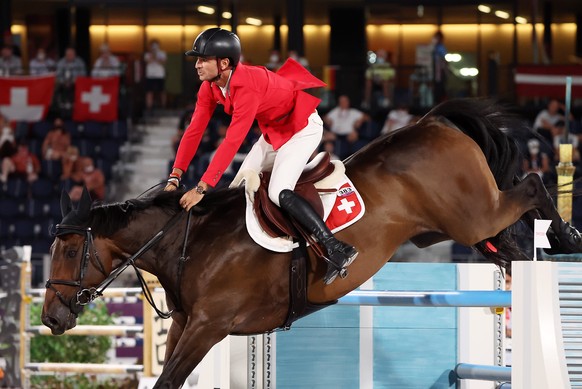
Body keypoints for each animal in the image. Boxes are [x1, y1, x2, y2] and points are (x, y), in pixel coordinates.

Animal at [41, 97, 582, 384]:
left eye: (69, 250)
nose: (50, 319)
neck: (189, 242)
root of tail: (435, 120)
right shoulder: (184, 327)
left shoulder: (208, 328)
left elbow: (170, 379)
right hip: (459, 227)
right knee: (505, 235)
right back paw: (531, 252)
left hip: (473, 216)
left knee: (533, 184)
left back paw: (565, 238)